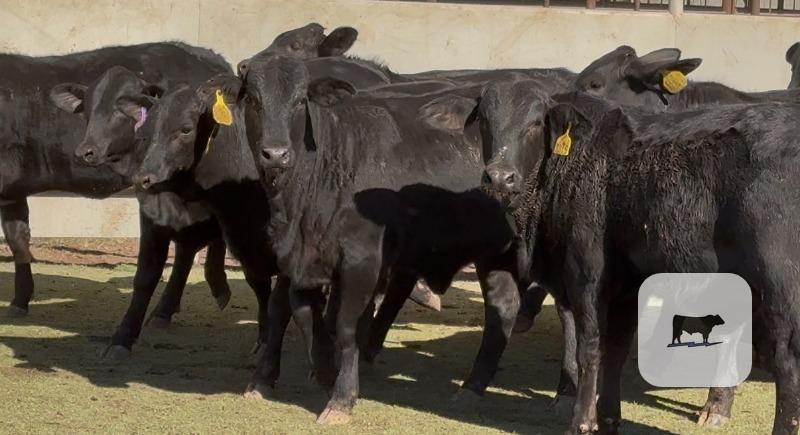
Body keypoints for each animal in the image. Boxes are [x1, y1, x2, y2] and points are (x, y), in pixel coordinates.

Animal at [482, 88, 800, 434]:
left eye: (535, 123)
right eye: (485, 121)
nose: (499, 177)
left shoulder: (585, 277)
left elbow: (588, 347)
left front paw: (581, 421)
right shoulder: (626, 286)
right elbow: (616, 350)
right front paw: (607, 418)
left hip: (781, 292)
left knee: (787, 363)